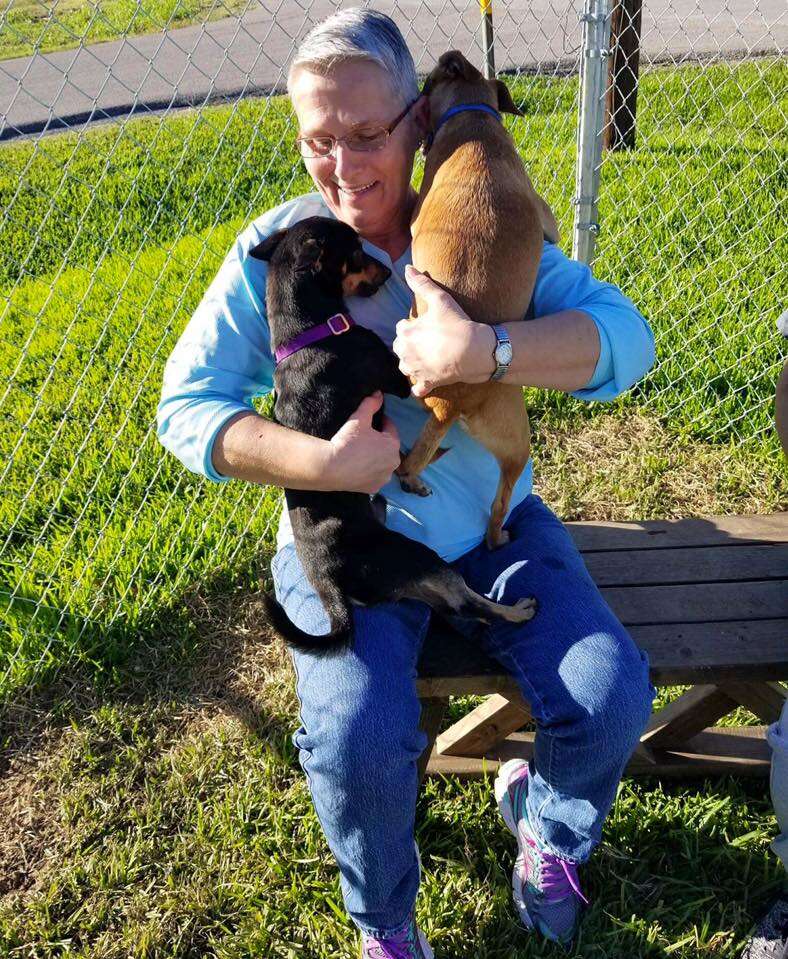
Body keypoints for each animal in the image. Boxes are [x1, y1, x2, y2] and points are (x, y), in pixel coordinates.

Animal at [252, 217, 536, 652]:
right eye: (356, 252)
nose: (387, 272)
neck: (307, 333)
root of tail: (331, 586)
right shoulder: (401, 375)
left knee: (454, 603)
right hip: (418, 556)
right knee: (470, 603)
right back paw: (517, 610)